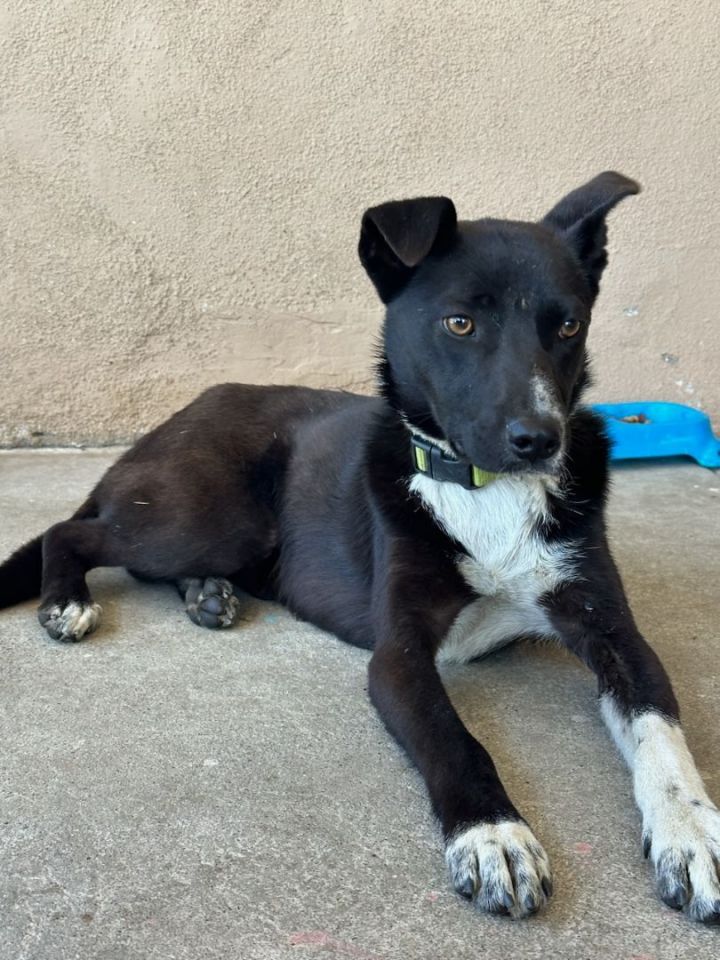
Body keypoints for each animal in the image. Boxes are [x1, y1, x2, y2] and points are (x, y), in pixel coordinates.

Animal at [1, 172, 720, 924]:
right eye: (459, 324)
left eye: (569, 326)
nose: (540, 440)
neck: (484, 489)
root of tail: (171, 421)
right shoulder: (398, 654)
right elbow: (454, 738)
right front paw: (494, 836)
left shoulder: (611, 631)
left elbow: (661, 726)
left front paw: (691, 831)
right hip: (214, 514)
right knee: (73, 533)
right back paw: (68, 602)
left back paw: (207, 594)